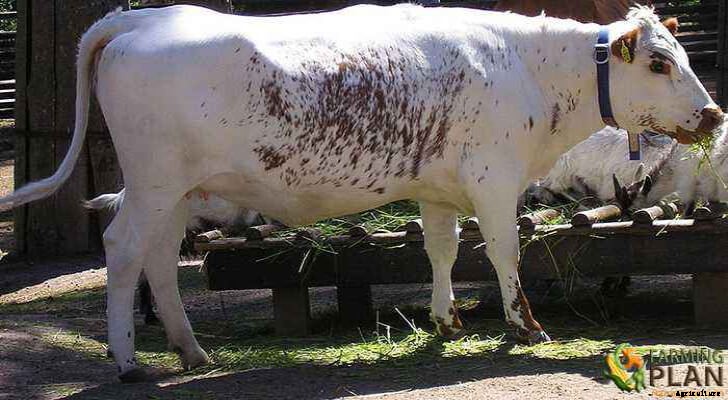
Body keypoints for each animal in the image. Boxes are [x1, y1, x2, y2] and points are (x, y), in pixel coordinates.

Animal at [0, 4, 720, 381]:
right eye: (660, 63)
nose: (714, 115)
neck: (526, 70)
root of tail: (138, 18)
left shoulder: (438, 187)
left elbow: (441, 250)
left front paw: (446, 320)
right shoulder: (494, 179)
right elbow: (505, 253)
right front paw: (526, 326)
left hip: (176, 191)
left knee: (159, 260)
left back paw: (191, 349)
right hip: (153, 182)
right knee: (124, 251)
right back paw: (128, 361)